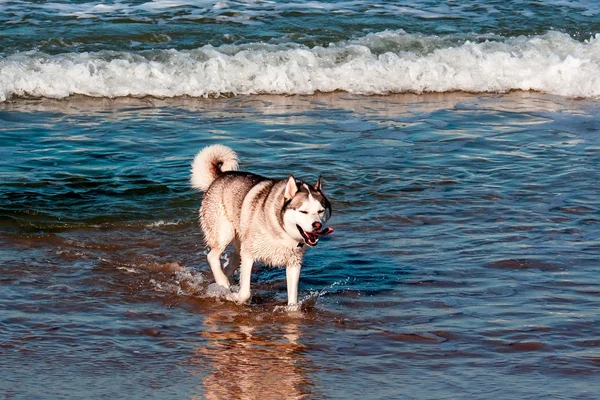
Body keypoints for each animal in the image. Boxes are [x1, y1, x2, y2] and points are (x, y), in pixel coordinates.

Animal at [191, 145, 336, 308]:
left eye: (320, 211)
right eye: (303, 211)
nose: (317, 225)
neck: (281, 230)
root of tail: (220, 176)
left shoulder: (294, 263)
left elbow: (293, 300)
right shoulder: (249, 254)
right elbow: (245, 292)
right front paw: (233, 296)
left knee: (234, 257)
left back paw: (225, 276)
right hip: (225, 232)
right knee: (212, 256)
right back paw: (223, 282)